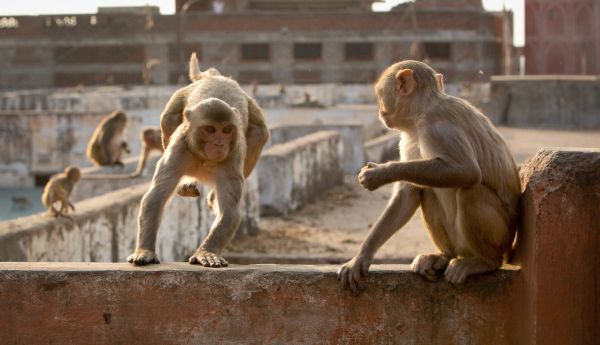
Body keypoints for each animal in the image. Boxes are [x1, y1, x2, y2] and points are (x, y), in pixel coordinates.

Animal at [128, 53, 270, 268]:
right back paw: (186, 186)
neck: (204, 158)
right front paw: (145, 251)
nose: (219, 144)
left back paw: (211, 197)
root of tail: (216, 76)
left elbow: (229, 211)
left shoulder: (233, 156)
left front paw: (207, 252)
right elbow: (155, 197)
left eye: (226, 130)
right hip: (178, 100)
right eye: (210, 129)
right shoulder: (179, 149)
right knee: (168, 118)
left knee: (259, 133)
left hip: (251, 110)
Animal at [338, 59, 520, 290]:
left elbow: (466, 170)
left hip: (500, 236)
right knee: (428, 189)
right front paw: (361, 258)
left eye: (380, 94)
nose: (379, 110)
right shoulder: (409, 137)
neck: (421, 111)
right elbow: (407, 193)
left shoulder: (436, 126)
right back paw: (443, 256)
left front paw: (381, 173)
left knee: (470, 190)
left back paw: (484, 262)